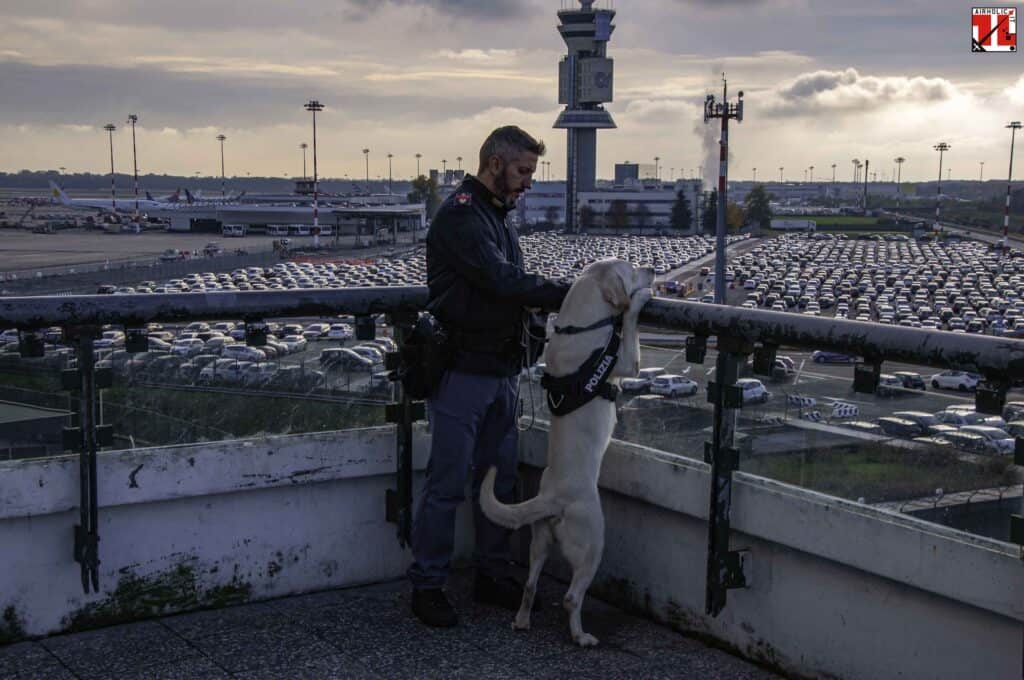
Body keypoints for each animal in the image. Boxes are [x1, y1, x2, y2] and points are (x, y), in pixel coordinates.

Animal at [481, 258, 655, 647]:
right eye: (631, 268)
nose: (652, 271)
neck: (579, 327)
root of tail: (553, 499)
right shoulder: (626, 362)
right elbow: (628, 324)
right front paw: (638, 300)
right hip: (592, 540)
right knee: (572, 596)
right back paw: (581, 636)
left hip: (539, 541)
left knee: (530, 585)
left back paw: (522, 621)